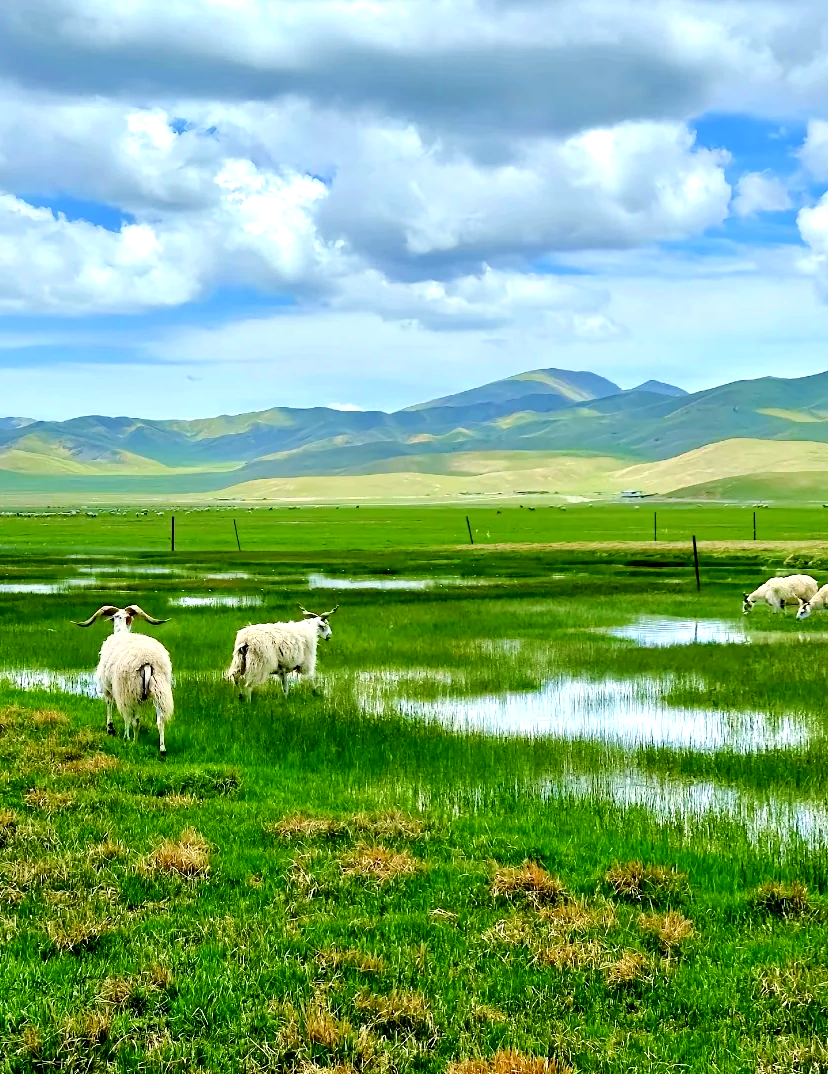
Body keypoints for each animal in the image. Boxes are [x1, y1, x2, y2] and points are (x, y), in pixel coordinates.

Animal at [73, 605, 173, 756]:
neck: (121, 632)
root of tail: (147, 660)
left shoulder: (108, 687)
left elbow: (109, 705)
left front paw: (111, 729)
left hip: (129, 690)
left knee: (133, 719)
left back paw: (132, 741)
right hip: (160, 690)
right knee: (160, 720)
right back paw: (162, 749)